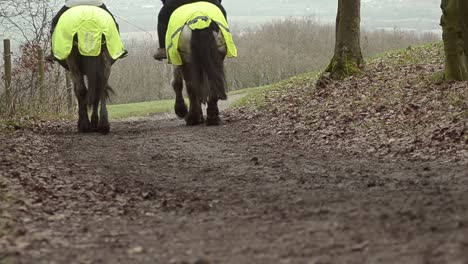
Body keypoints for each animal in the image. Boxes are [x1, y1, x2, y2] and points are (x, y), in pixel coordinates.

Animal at [51, 5, 125, 134]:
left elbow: (78, 91)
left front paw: (83, 122)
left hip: (73, 63)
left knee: (83, 90)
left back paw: (86, 124)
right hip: (105, 61)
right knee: (100, 89)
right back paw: (102, 124)